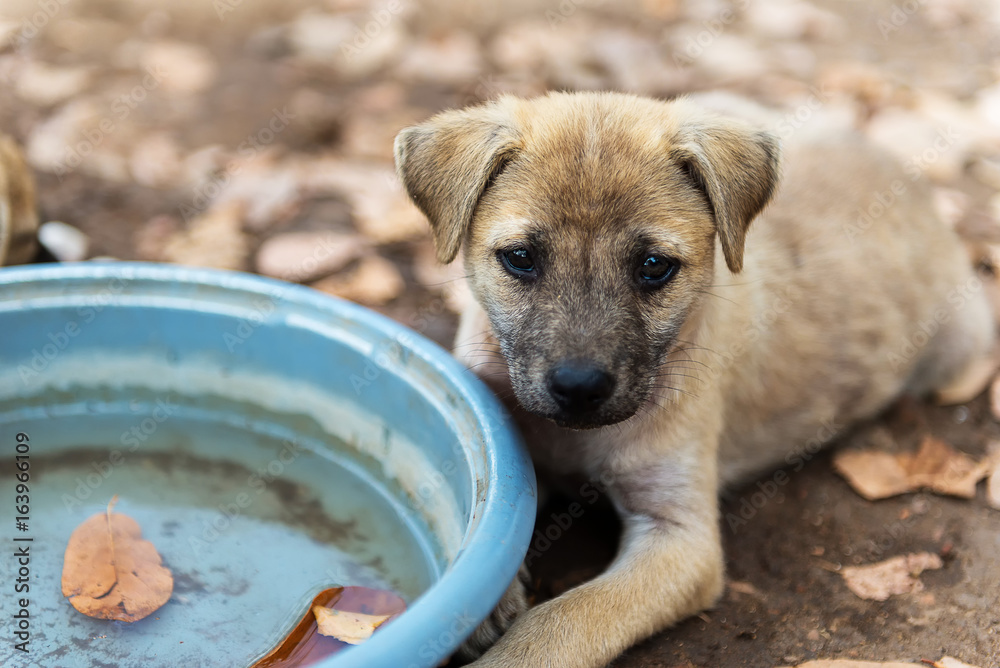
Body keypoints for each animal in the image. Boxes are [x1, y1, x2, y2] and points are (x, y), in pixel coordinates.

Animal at [392, 94, 992, 668]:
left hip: (959, 346)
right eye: (520, 258)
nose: (579, 388)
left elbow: (563, 621)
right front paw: (488, 603)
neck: (574, 443)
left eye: (654, 266)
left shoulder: (681, 540)